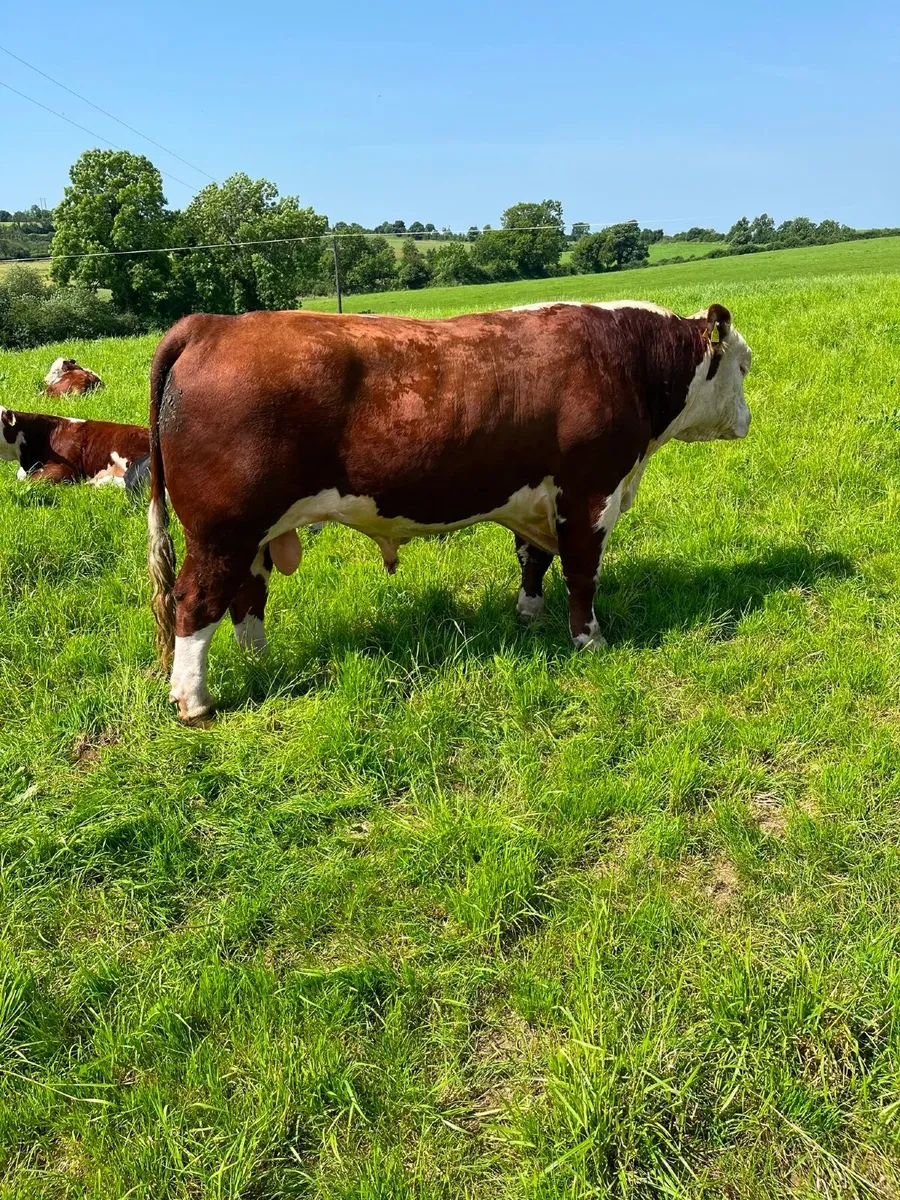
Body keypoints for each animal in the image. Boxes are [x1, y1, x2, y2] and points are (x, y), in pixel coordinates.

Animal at [146, 301, 752, 721]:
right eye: (744, 368)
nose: (747, 420)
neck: (625, 360)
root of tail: (212, 325)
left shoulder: (535, 498)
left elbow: (533, 559)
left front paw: (530, 614)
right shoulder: (589, 493)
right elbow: (582, 572)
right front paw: (590, 640)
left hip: (253, 535)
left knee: (247, 597)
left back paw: (261, 662)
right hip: (222, 531)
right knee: (196, 601)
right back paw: (195, 701)